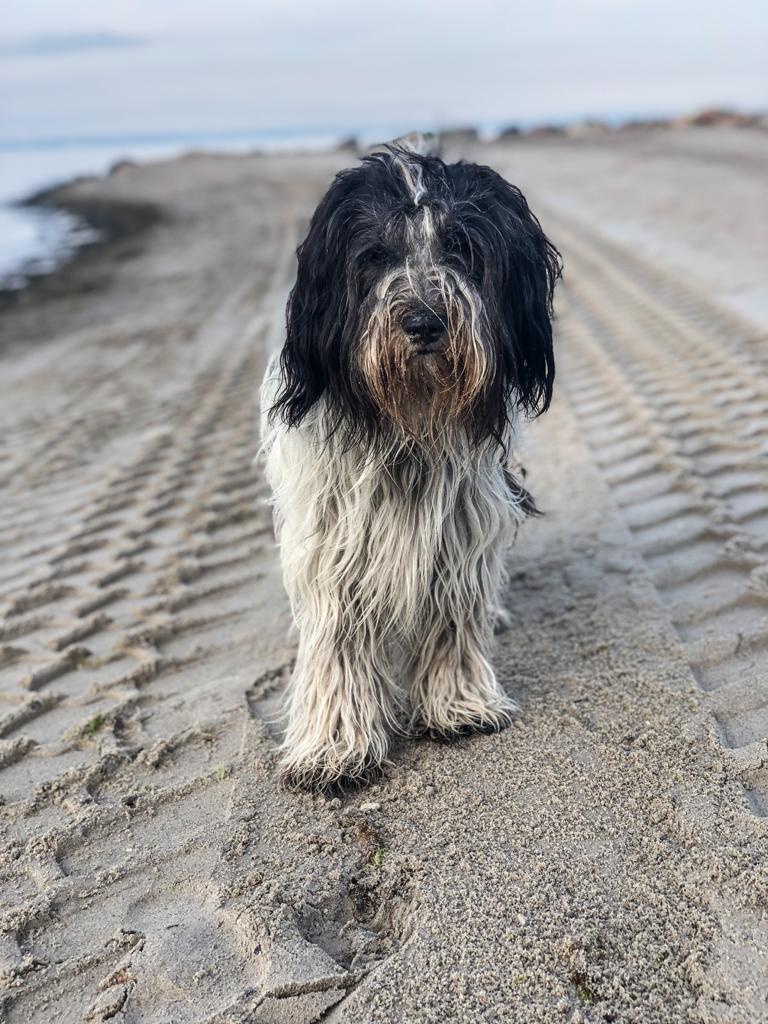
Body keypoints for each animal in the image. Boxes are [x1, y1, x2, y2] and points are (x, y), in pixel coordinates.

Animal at [262, 142, 561, 790]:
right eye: (376, 256)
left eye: (461, 248)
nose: (424, 322)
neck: (409, 424)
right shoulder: (334, 537)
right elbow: (336, 638)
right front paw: (335, 745)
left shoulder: (461, 524)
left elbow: (453, 611)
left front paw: (458, 704)